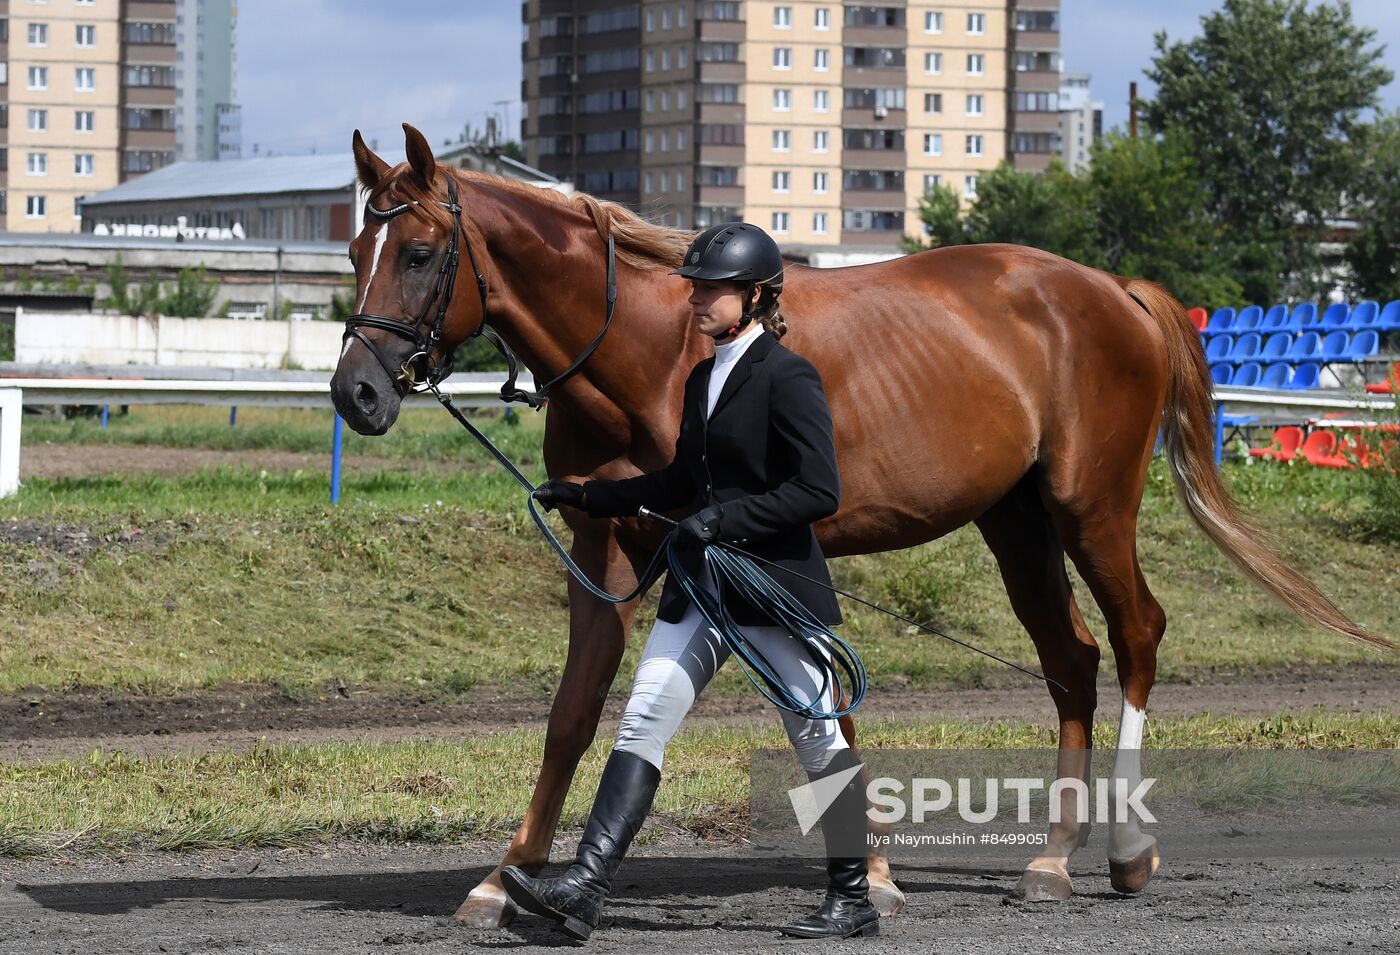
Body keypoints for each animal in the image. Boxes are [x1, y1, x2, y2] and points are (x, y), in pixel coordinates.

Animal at [330, 126, 1388, 924]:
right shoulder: (610, 551)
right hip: (1017, 524)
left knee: (1135, 637)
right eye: (353, 254)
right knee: (1071, 660)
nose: (356, 393)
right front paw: (501, 876)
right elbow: (574, 715)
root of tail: (1110, 288)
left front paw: (867, 875)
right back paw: (1052, 855)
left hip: (1092, 509)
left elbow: (819, 701)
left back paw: (1126, 850)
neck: (660, 349)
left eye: (417, 253)